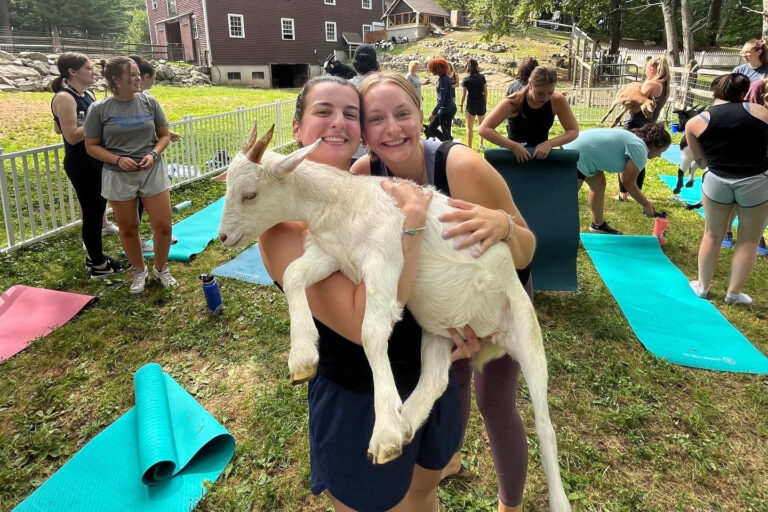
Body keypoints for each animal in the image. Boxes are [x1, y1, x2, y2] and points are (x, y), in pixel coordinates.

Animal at [219, 125, 572, 512]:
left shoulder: (384, 258)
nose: (222, 236)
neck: (340, 202)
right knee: (436, 379)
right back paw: (406, 425)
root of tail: (492, 333)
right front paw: (302, 359)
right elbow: (294, 274)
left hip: (525, 326)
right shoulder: (334, 256)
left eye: (250, 194)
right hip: (439, 332)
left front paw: (384, 432)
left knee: (545, 425)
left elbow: (371, 332)